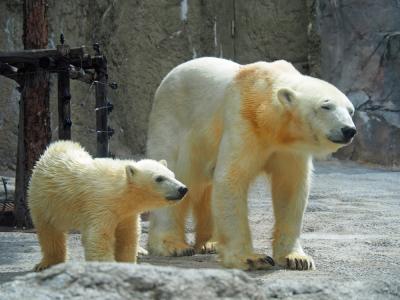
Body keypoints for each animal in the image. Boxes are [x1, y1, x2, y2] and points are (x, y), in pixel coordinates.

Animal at [147, 57, 356, 270]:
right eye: (326, 106)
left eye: (351, 111)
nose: (349, 130)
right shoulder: (243, 121)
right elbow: (231, 178)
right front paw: (252, 258)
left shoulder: (290, 150)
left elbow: (290, 188)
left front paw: (297, 258)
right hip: (173, 120)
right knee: (176, 169)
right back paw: (173, 245)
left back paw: (210, 243)